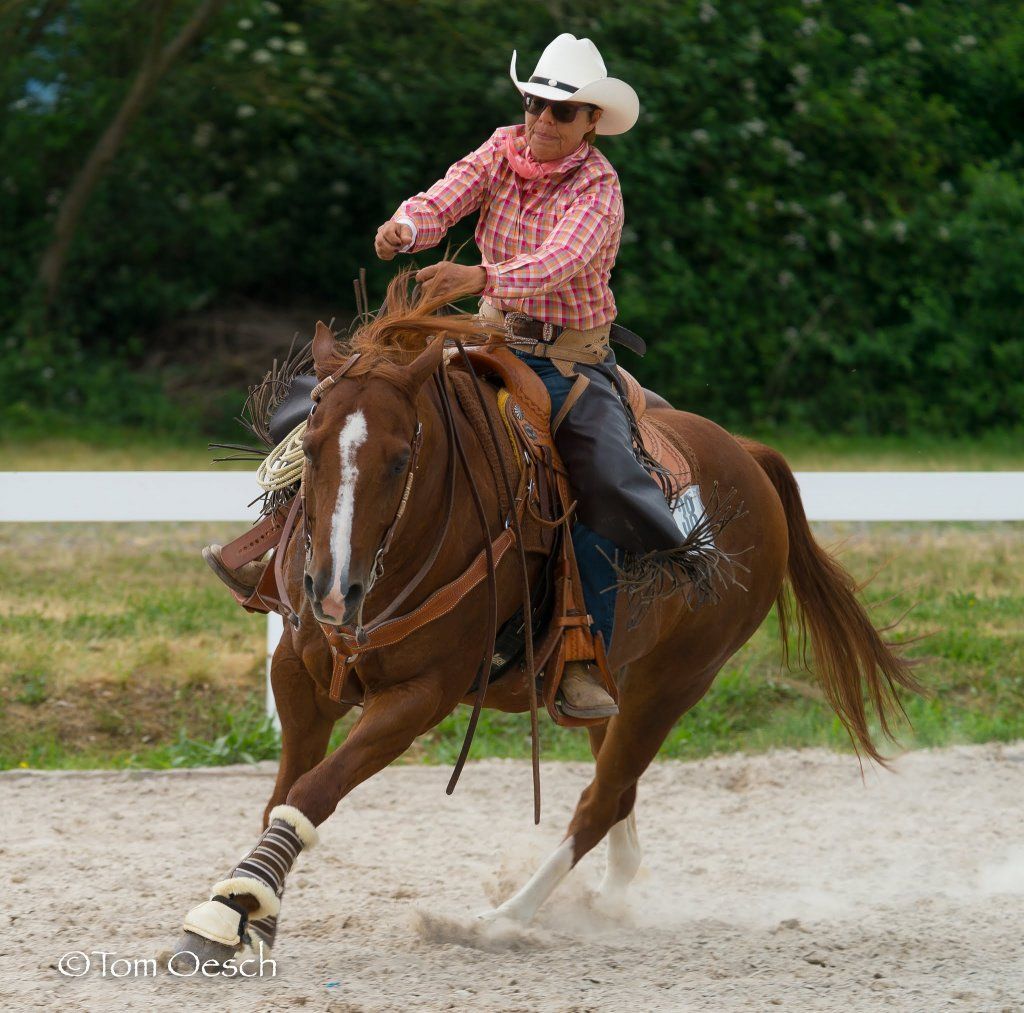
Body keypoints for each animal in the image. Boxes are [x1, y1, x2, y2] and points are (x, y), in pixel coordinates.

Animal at [175, 272, 921, 962]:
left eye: (400, 457)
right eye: (311, 443)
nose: (332, 590)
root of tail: (750, 457)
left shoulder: (421, 695)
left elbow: (316, 787)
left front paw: (231, 909)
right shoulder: (299, 672)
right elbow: (285, 788)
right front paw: (248, 912)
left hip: (675, 684)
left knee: (599, 803)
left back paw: (495, 921)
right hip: (616, 682)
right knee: (617, 790)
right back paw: (605, 899)